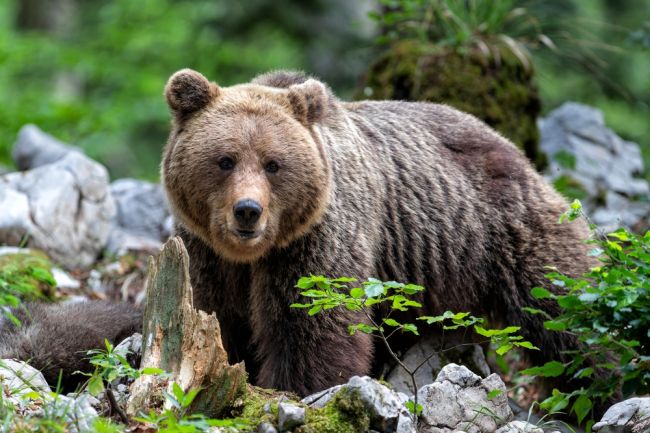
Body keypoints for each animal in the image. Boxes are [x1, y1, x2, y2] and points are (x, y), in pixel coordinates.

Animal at [162, 67, 592, 394]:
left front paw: (298, 388)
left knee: (567, 312)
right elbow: (218, 318)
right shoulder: (206, 254)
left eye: (273, 164)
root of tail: (514, 149)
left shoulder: (313, 241)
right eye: (225, 160)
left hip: (506, 229)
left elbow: (314, 323)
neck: (252, 256)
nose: (248, 211)